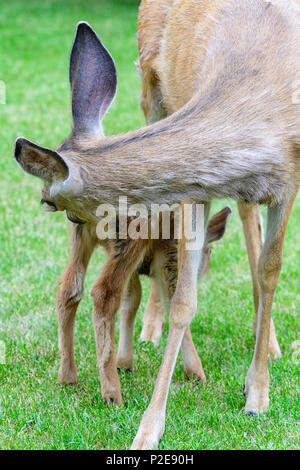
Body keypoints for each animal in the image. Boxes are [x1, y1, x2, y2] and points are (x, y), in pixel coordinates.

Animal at [15, 0, 298, 450]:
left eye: (47, 198)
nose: (66, 216)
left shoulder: (288, 180)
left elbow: (270, 271)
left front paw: (257, 393)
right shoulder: (199, 185)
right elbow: (184, 299)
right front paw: (149, 428)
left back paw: (264, 341)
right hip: (153, 93)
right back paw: (145, 337)